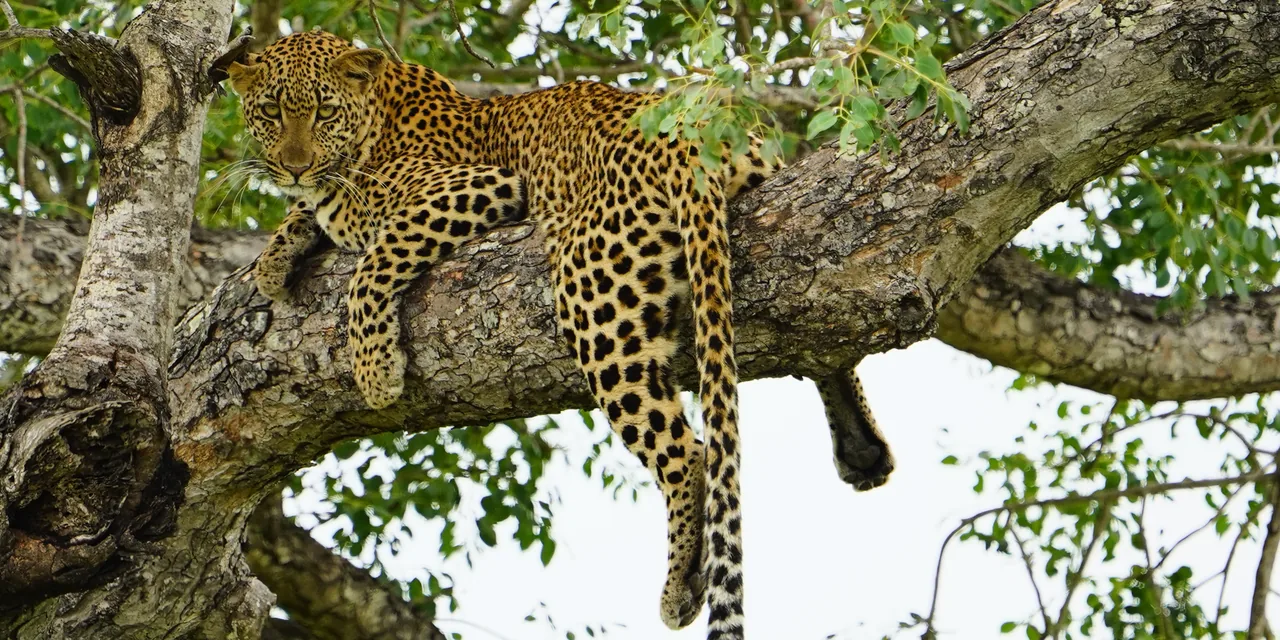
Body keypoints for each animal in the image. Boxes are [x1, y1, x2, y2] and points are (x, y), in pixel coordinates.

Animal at [224, 30, 782, 639]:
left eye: (325, 112)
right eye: (270, 112)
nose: (295, 167)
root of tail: (686, 136)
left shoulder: (474, 187)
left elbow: (372, 265)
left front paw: (376, 371)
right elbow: (309, 216)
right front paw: (274, 260)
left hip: (594, 298)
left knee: (689, 455)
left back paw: (679, 585)